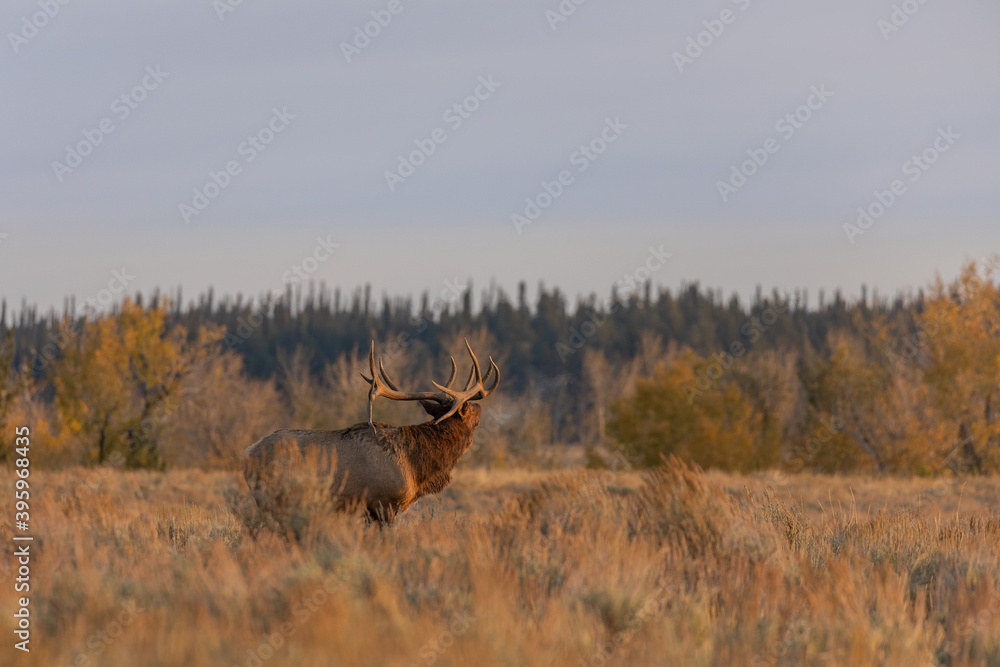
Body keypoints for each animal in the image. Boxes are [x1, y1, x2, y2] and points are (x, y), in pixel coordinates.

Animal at [242, 340, 499, 524]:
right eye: (469, 409)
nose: (479, 408)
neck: (418, 467)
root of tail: (246, 453)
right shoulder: (384, 503)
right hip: (270, 496)